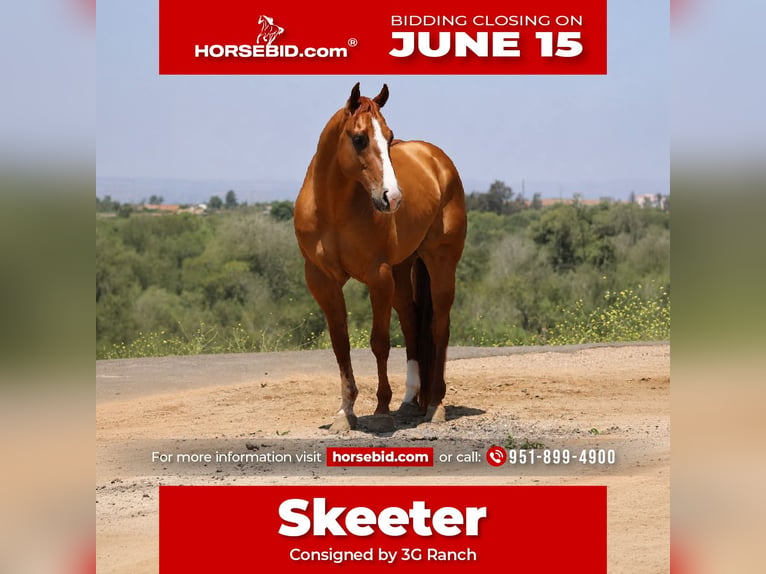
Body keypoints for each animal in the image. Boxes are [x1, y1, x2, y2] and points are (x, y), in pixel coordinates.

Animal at [294, 83, 467, 432]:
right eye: (359, 138)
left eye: (389, 137)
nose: (393, 198)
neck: (333, 211)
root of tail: (437, 160)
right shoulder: (322, 281)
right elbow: (341, 343)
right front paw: (345, 412)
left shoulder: (378, 276)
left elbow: (380, 342)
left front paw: (382, 409)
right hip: (403, 269)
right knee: (413, 322)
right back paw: (409, 401)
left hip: (440, 262)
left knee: (439, 326)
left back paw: (435, 405)